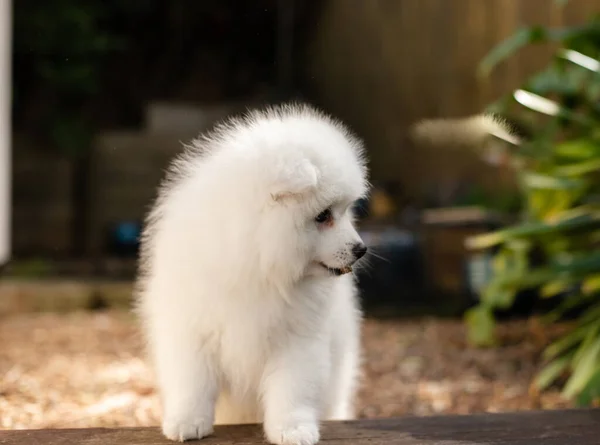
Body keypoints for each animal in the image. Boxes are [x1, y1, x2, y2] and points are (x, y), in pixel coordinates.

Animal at [136, 102, 368, 442]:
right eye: (323, 215)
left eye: (346, 211)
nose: (360, 249)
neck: (259, 269)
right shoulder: (192, 330)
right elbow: (193, 383)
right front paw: (187, 421)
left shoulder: (298, 338)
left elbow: (292, 388)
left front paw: (292, 428)